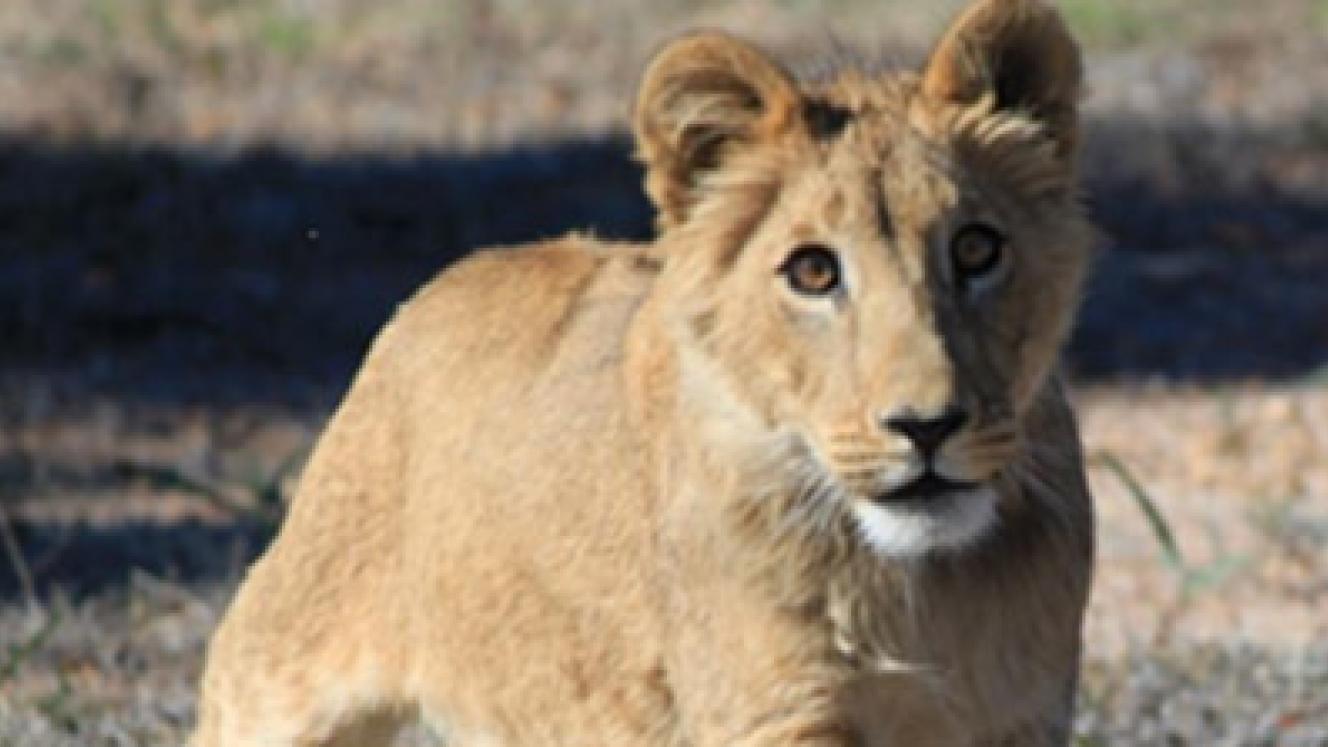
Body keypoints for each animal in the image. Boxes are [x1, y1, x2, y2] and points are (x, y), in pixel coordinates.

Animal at [194, 0, 1096, 744]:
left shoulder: (1022, 715)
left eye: (975, 249)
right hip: (278, 672)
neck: (916, 589)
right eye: (813, 271)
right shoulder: (773, 711)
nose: (926, 426)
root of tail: (457, 275)